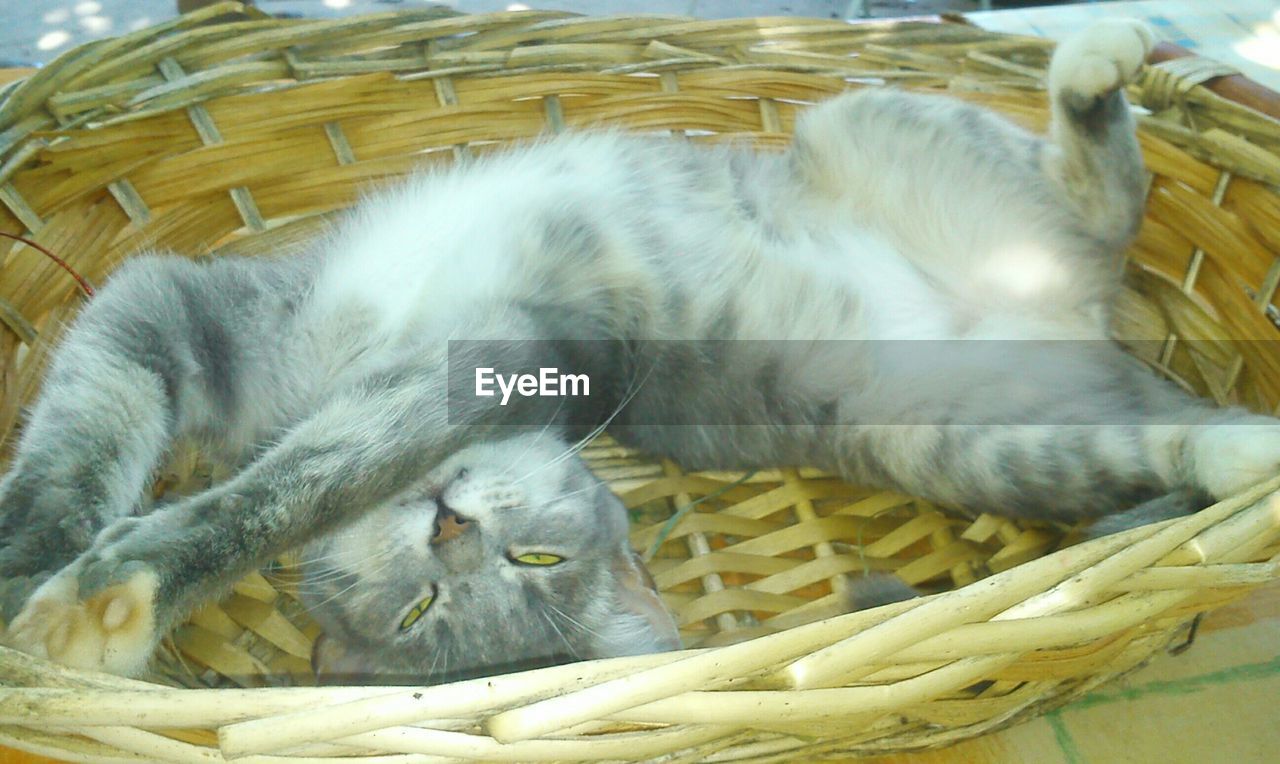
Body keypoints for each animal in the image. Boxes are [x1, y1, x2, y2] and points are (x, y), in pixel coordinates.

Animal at [2, 20, 1280, 680]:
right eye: (420, 615)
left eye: (532, 560)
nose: (451, 529)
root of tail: (1078, 318)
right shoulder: (179, 313)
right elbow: (82, 433)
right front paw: (33, 559)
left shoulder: (455, 364)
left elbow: (290, 482)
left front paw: (109, 587)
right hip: (967, 443)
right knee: (1156, 432)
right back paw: (1243, 457)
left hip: (857, 118)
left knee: (1106, 204)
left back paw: (1096, 63)